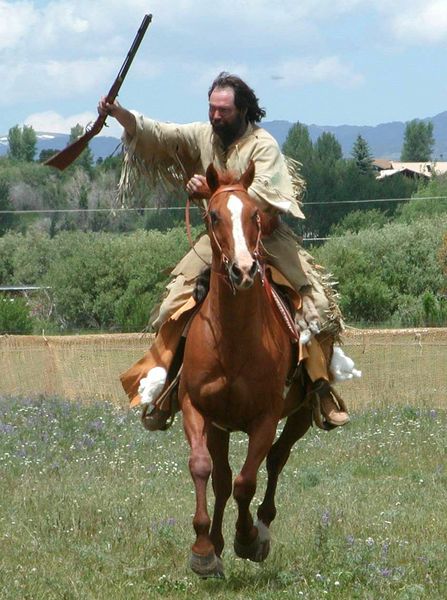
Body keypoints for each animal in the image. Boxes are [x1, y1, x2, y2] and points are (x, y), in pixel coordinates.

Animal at [180, 159, 314, 576]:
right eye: (212, 215)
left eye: (255, 214)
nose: (243, 270)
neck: (233, 339)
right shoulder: (197, 408)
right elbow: (203, 468)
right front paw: (204, 549)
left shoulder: (265, 418)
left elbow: (247, 481)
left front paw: (247, 538)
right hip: (220, 425)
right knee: (223, 478)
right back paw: (217, 543)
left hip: (302, 414)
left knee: (276, 459)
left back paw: (262, 527)